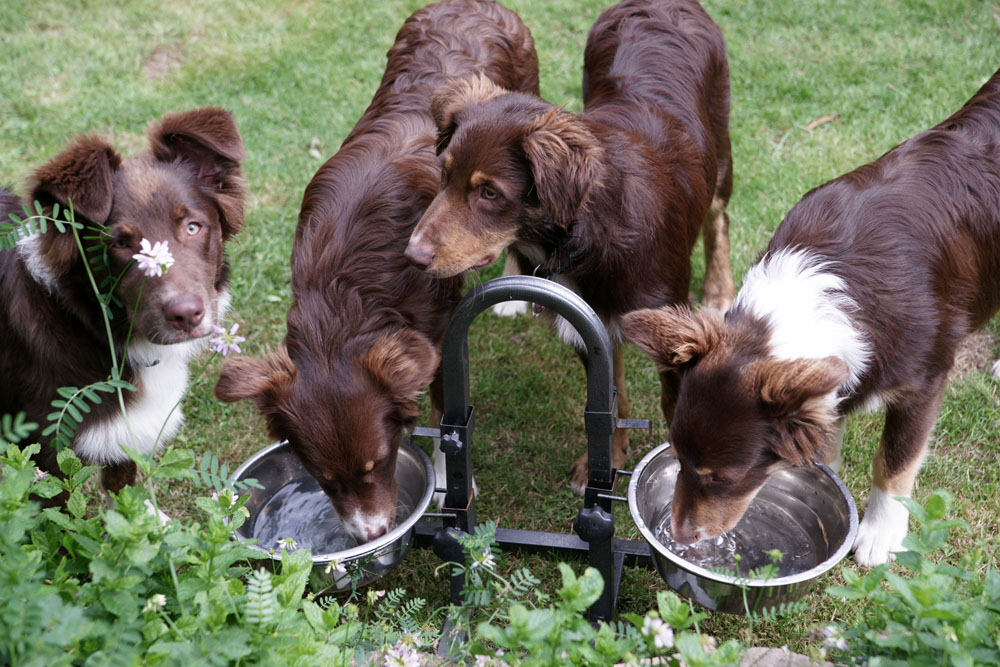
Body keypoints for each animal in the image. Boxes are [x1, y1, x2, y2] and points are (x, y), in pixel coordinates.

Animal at [0, 108, 247, 496]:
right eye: (120, 244)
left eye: (193, 227)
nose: (186, 315)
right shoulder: (44, 456)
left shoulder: (123, 434)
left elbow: (123, 495)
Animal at [213, 0, 540, 544]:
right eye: (324, 479)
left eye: (379, 462)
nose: (371, 535)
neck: (343, 294)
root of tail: (473, 5)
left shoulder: (437, 332)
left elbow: (446, 413)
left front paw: (450, 482)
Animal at [402, 0, 740, 496]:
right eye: (443, 175)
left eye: (490, 193)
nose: (414, 256)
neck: (585, 235)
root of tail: (661, 5)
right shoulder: (589, 324)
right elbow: (611, 398)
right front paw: (605, 464)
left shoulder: (672, 335)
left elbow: (672, 408)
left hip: (720, 149)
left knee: (719, 218)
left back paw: (718, 289)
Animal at [620, 68, 1000, 568]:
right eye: (678, 457)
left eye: (723, 477)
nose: (682, 536)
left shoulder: (924, 383)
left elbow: (893, 461)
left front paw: (880, 533)